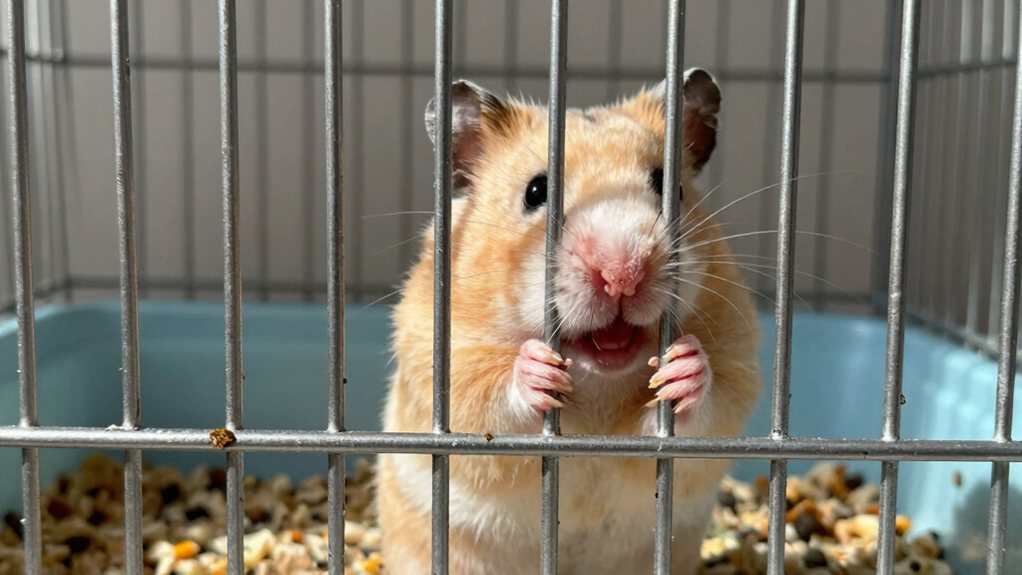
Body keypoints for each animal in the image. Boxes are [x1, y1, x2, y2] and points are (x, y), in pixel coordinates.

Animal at [376, 68, 761, 575]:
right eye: (536, 192)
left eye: (670, 187)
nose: (622, 274)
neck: (598, 380)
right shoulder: (439, 357)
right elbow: (485, 399)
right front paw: (538, 370)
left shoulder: (737, 352)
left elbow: (715, 401)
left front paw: (683, 366)